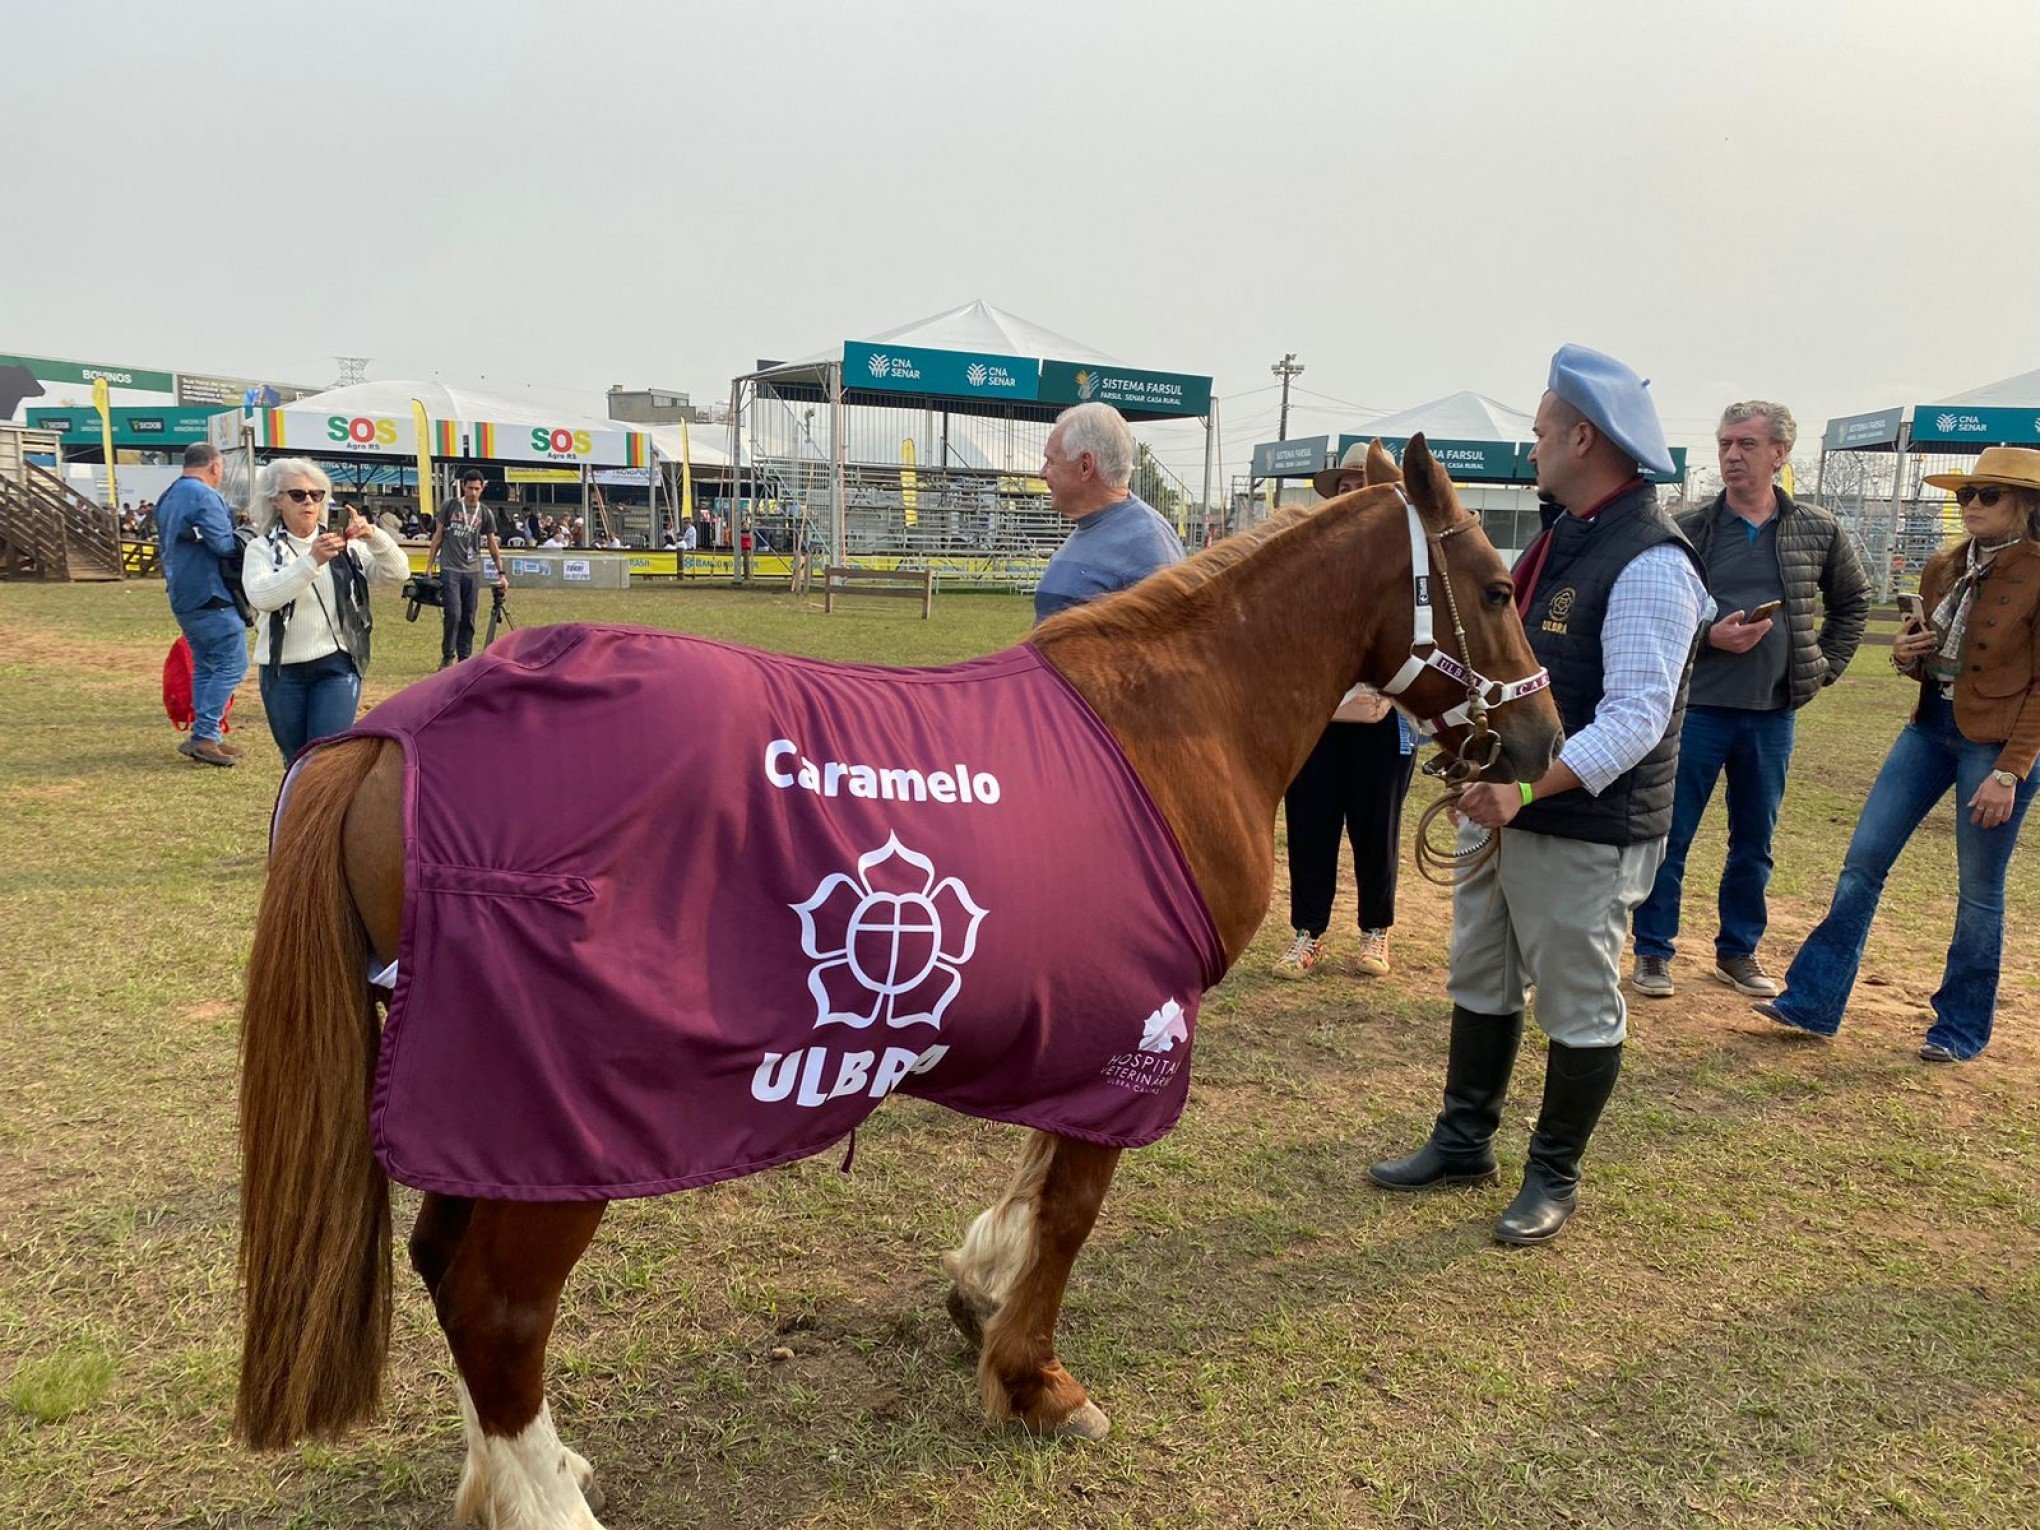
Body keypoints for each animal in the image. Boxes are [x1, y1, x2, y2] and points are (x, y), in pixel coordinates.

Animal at [231, 436, 1550, 1525]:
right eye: (1497, 586)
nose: (1539, 743)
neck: (1174, 722)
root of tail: (393, 738)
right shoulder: (1141, 1028)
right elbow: (1073, 1207)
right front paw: (1035, 1379)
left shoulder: (1089, 1018)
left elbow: (1037, 1173)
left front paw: (980, 1284)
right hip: (561, 1123)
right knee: (494, 1306)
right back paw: (545, 1502)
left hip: (489, 1111)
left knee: (445, 1268)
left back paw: (521, 1473)